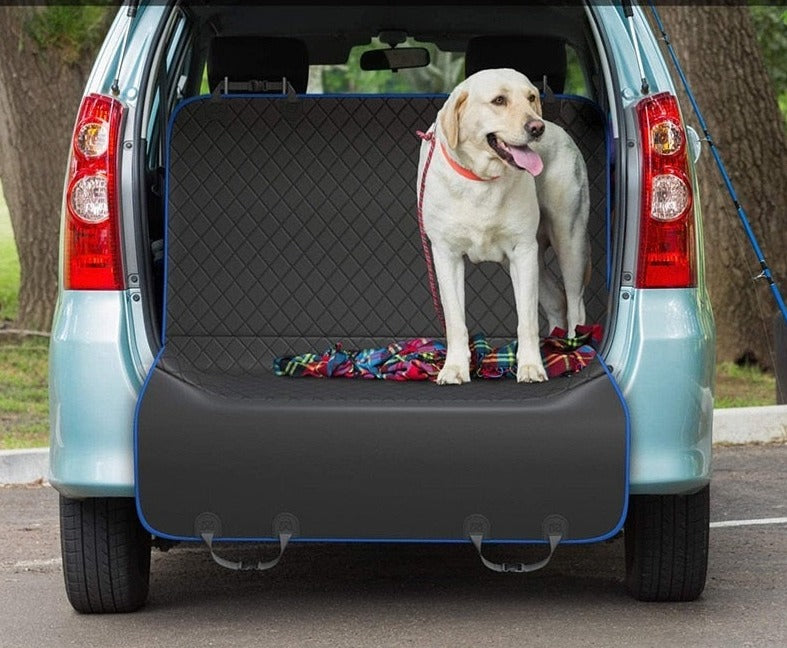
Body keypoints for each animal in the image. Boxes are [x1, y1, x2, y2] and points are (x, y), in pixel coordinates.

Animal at [422, 69, 588, 384]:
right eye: (499, 100)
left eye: (531, 97)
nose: (537, 128)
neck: (481, 179)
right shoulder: (446, 255)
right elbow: (455, 320)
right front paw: (454, 368)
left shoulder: (521, 251)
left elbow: (526, 320)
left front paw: (531, 366)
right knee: (557, 300)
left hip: (569, 241)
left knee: (575, 303)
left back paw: (573, 347)